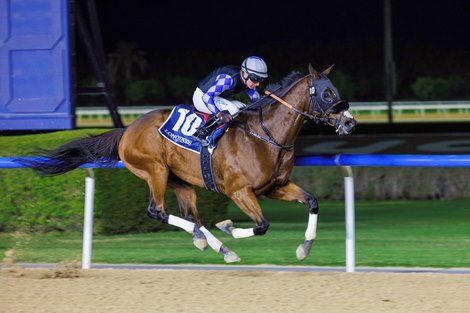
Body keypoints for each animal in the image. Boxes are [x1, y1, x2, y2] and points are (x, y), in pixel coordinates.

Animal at [18, 64, 356, 262]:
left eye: (336, 91)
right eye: (327, 94)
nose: (350, 122)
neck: (266, 135)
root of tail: (127, 130)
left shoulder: (276, 187)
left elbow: (312, 202)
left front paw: (304, 248)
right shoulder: (240, 191)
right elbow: (261, 226)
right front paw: (230, 227)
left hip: (181, 181)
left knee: (192, 217)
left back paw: (215, 246)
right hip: (155, 171)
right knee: (158, 211)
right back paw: (213, 242)